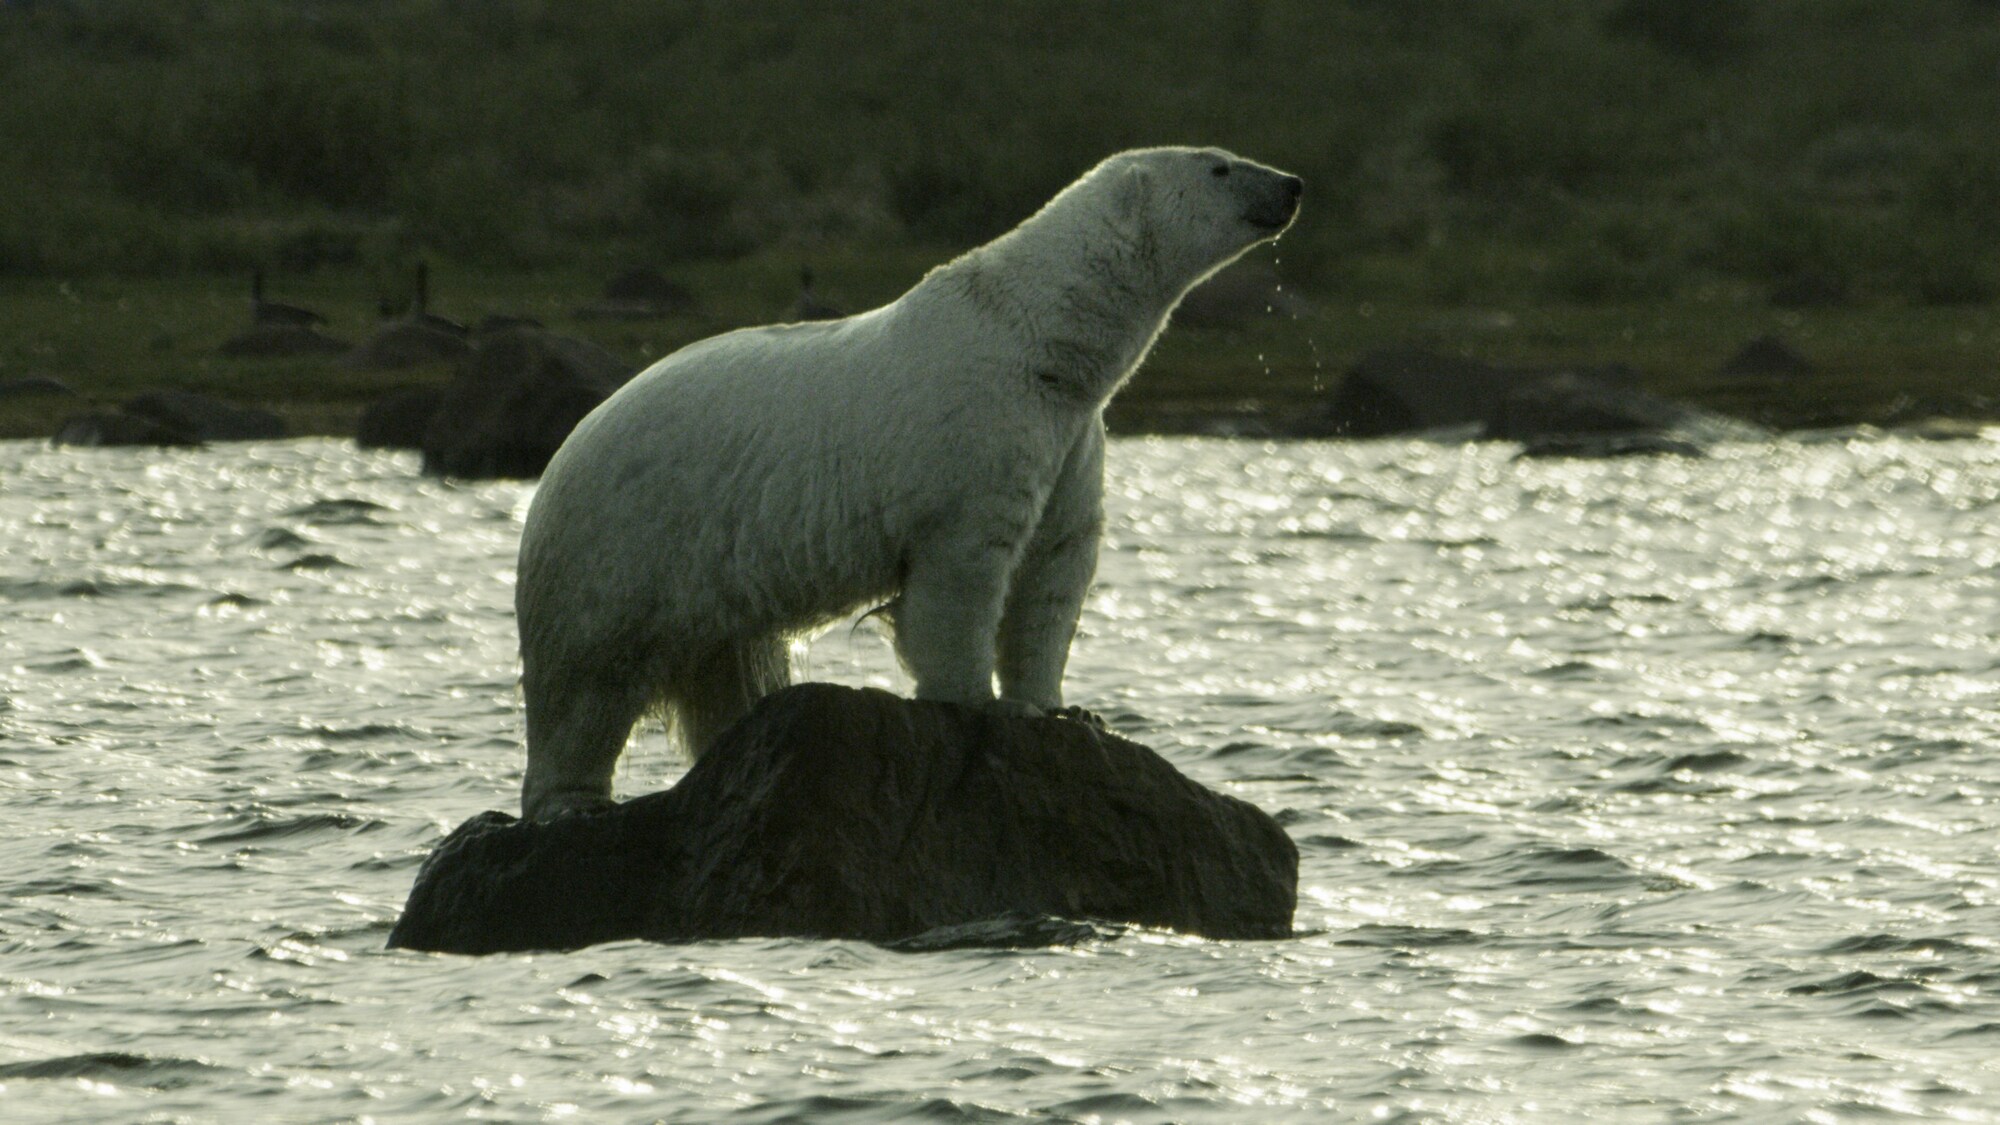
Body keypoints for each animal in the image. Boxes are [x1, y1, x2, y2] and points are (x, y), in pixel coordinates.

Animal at [512, 147, 1296, 812]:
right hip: (620, 550)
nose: (1291, 184)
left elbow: (1055, 565)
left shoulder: (1072, 438)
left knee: (728, 668)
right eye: (1221, 166)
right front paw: (985, 700)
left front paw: (1068, 707)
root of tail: (559, 461)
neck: (1042, 342)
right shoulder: (979, 431)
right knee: (586, 688)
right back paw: (572, 797)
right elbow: (967, 569)